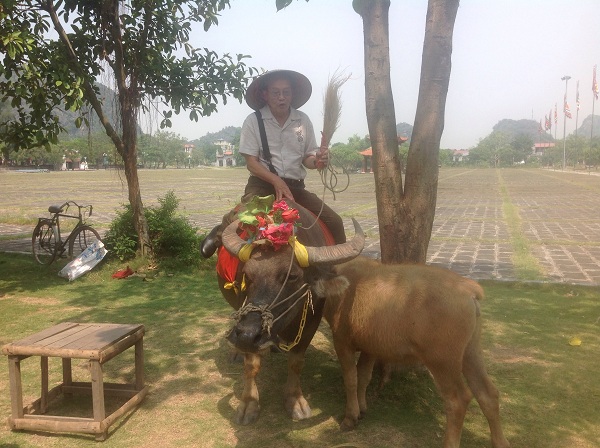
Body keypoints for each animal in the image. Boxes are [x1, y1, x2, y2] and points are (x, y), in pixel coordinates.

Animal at [218, 201, 364, 426]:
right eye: (247, 274)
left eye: (293, 276)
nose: (246, 335)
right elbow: (251, 365)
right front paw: (249, 403)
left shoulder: (311, 322)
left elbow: (296, 363)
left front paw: (295, 401)